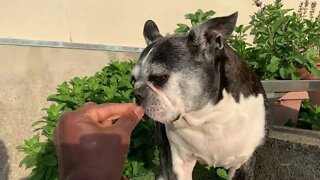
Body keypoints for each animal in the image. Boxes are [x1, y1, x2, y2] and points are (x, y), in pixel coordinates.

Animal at [132, 11, 270, 179]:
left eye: (160, 78)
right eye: (133, 80)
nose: (137, 94)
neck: (209, 116)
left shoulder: (243, 163)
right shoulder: (182, 162)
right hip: (160, 134)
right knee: (162, 152)